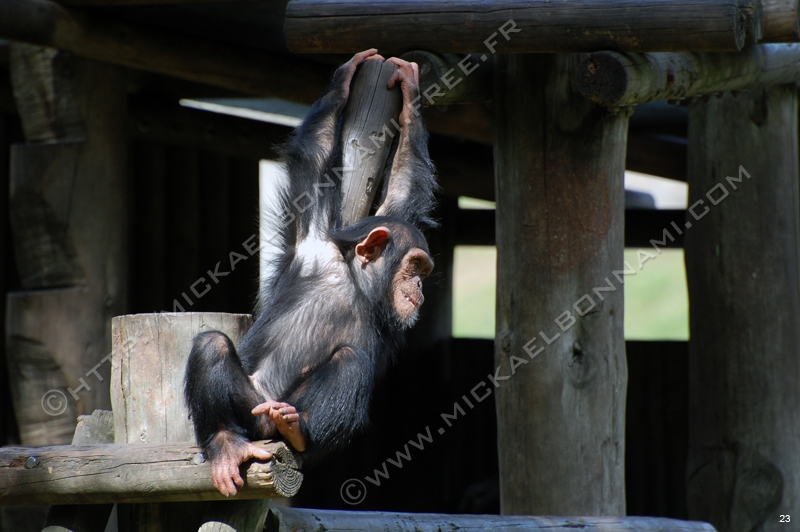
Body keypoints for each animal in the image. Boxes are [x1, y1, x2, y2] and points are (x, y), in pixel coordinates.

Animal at [184, 48, 438, 494]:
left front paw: (410, 95)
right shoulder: (315, 238)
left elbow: (403, 190)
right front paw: (342, 82)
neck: (358, 284)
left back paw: (298, 429)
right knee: (211, 345)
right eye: (414, 267)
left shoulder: (390, 215)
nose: (421, 286)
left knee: (351, 362)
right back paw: (225, 444)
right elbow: (315, 163)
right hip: (253, 409)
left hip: (279, 414)